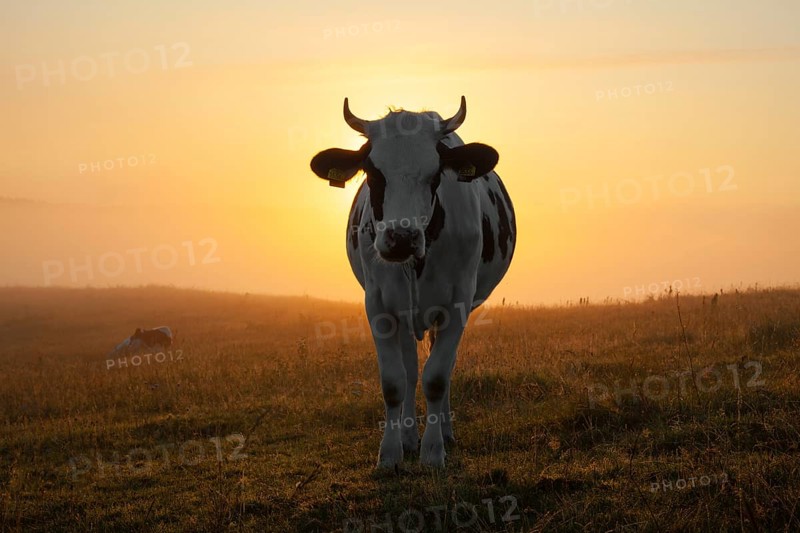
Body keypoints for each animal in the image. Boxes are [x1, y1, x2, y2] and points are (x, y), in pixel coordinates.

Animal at [310, 97, 516, 467]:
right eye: (372, 172)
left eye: (435, 175)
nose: (401, 238)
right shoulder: (378, 305)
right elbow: (394, 381)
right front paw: (390, 453)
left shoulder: (458, 304)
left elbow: (437, 377)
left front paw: (433, 452)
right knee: (409, 368)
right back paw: (408, 437)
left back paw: (444, 433)